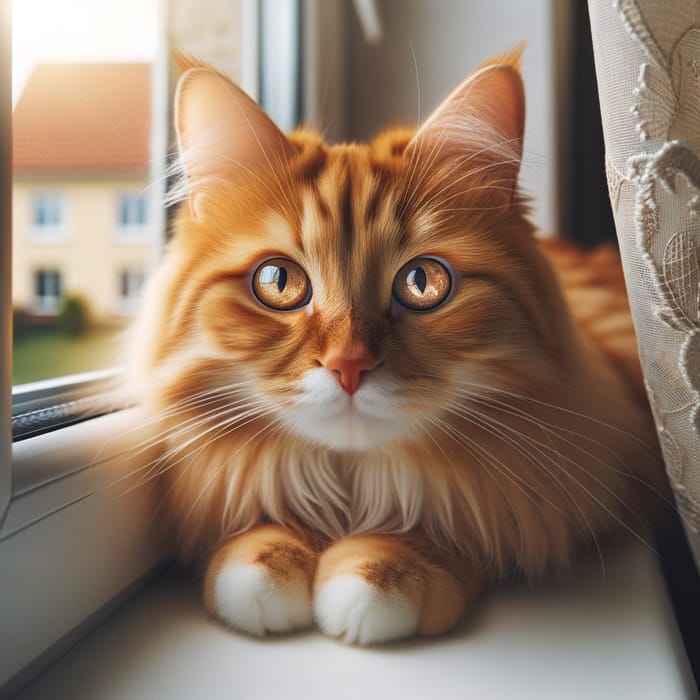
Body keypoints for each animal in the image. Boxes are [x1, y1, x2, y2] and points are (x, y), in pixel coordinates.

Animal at [130, 49, 668, 644]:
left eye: (422, 283)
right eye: (278, 281)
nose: (349, 366)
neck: (352, 489)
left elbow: (456, 527)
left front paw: (380, 571)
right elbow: (267, 518)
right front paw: (263, 560)